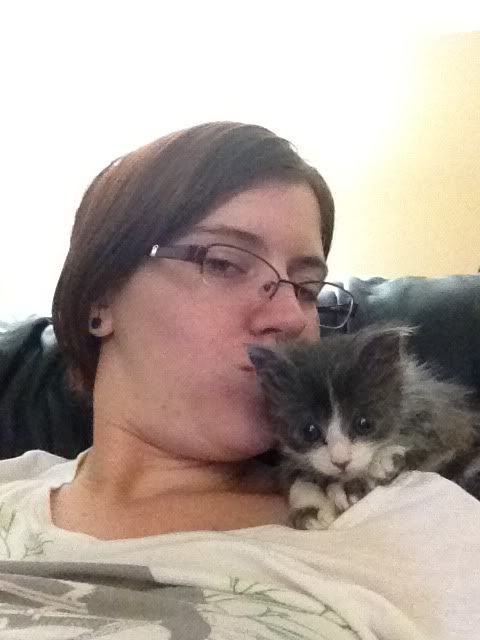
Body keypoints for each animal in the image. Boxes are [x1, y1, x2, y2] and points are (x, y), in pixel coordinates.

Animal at [248, 324, 480, 530]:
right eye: (309, 431)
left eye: (364, 424)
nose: (340, 461)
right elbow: (296, 476)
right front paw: (310, 510)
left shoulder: (446, 421)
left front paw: (380, 462)